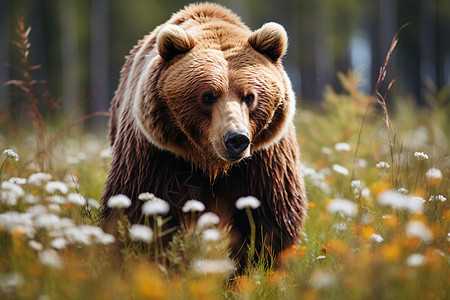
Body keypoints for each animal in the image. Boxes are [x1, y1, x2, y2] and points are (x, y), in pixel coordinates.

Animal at [100, 2, 308, 268]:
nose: (236, 139)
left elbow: (270, 216)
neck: (210, 164)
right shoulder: (156, 153)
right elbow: (141, 208)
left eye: (250, 96)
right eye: (208, 96)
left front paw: (257, 266)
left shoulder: (264, 159)